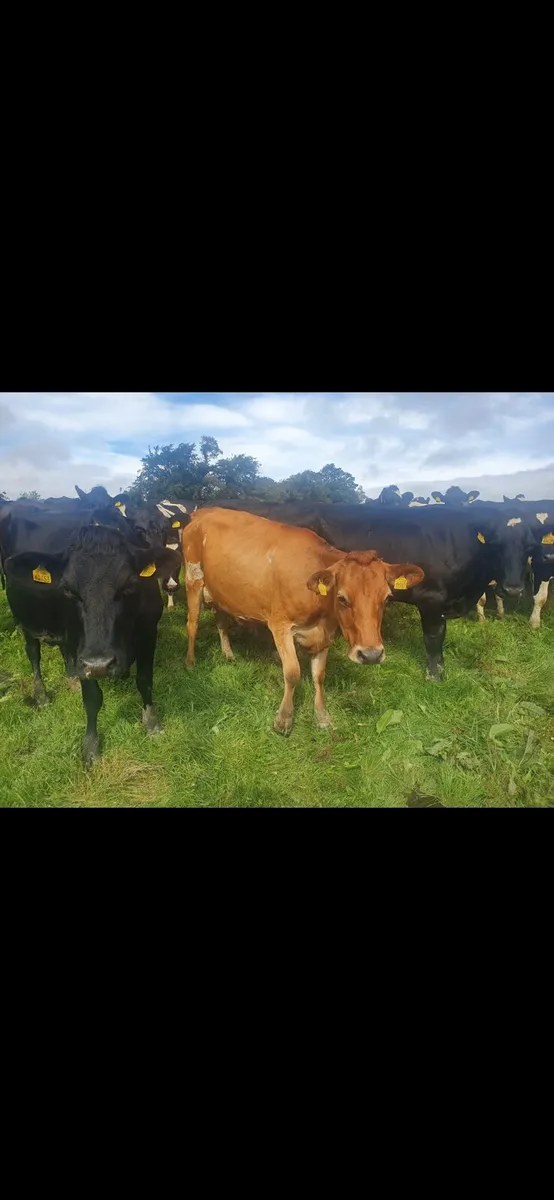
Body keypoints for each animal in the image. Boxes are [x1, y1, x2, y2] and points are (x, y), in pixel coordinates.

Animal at [0, 502, 174, 765]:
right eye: (68, 590)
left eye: (129, 585)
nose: (100, 664)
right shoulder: (80, 647)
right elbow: (92, 698)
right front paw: (91, 746)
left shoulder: (148, 632)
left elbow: (145, 682)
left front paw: (152, 724)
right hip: (25, 620)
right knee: (33, 654)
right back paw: (41, 696)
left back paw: (71, 677)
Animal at [181, 507, 424, 734]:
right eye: (342, 598)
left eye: (387, 598)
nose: (371, 655)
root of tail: (204, 512)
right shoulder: (280, 625)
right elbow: (292, 673)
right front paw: (284, 720)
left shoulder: (325, 634)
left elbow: (319, 675)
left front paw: (322, 716)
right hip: (194, 579)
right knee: (192, 623)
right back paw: (191, 662)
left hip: (221, 592)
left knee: (222, 622)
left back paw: (228, 653)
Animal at [191, 499, 538, 681]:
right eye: (496, 545)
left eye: (528, 547)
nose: (513, 588)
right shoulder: (431, 601)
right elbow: (433, 640)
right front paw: (435, 675)